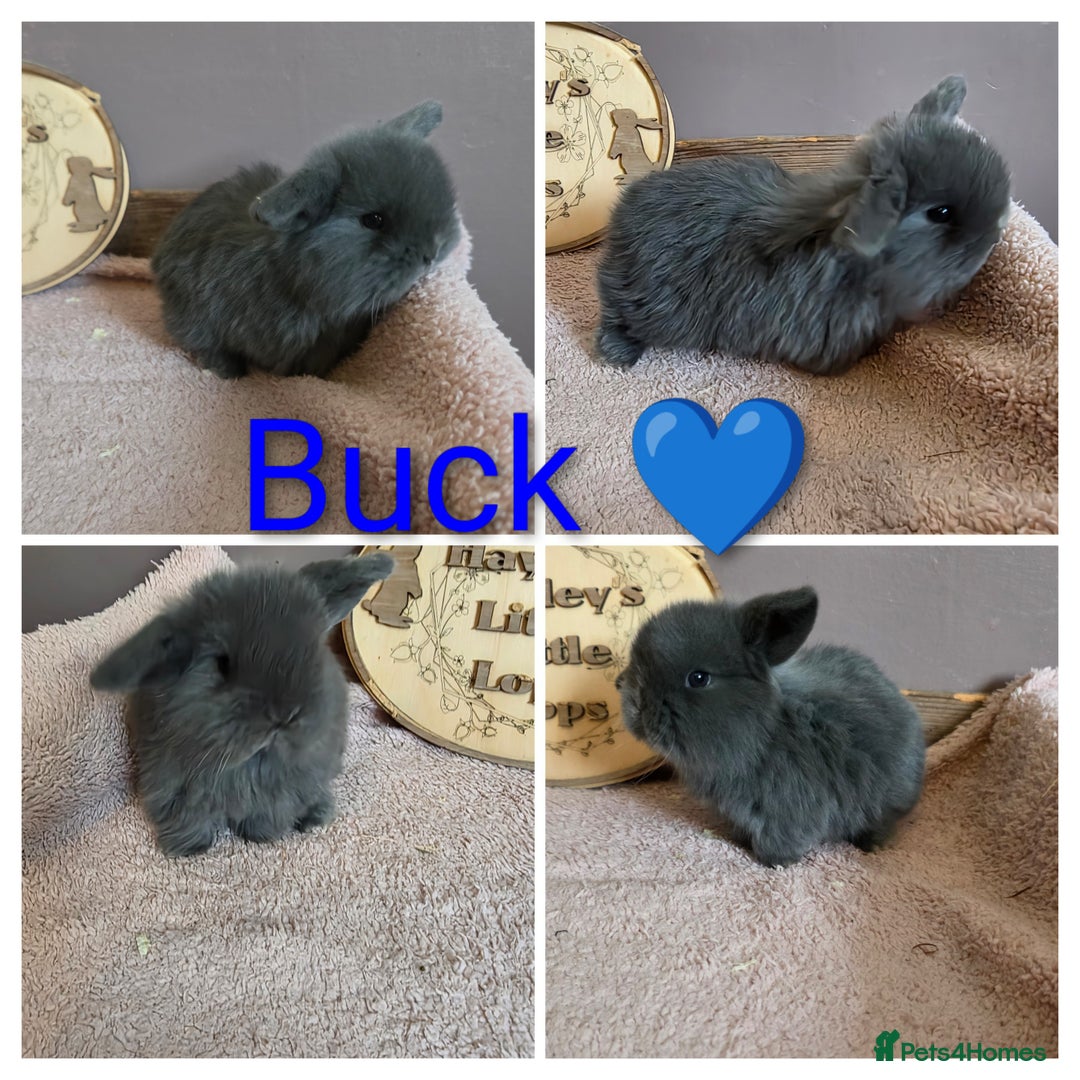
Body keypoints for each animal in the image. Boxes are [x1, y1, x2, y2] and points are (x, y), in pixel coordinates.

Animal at [89, 553, 394, 856]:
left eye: (312, 649)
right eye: (222, 664)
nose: (285, 716)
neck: (246, 762)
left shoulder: (279, 794)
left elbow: (265, 816)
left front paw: (259, 836)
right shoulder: (170, 785)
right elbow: (186, 819)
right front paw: (190, 848)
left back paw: (314, 819)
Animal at [615, 587, 925, 867]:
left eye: (699, 678)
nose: (636, 706)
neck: (763, 734)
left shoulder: (789, 810)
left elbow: (780, 840)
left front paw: (775, 862)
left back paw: (875, 845)